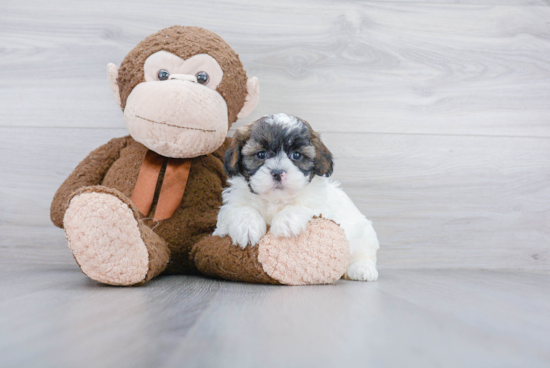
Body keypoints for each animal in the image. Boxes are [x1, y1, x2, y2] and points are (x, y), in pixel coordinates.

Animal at [213, 113, 382, 280]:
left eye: (296, 155)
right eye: (261, 154)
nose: (277, 172)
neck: (275, 200)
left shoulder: (320, 207)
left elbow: (301, 206)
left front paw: (286, 221)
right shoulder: (227, 212)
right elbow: (240, 209)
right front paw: (247, 226)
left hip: (365, 234)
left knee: (364, 253)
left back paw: (362, 269)